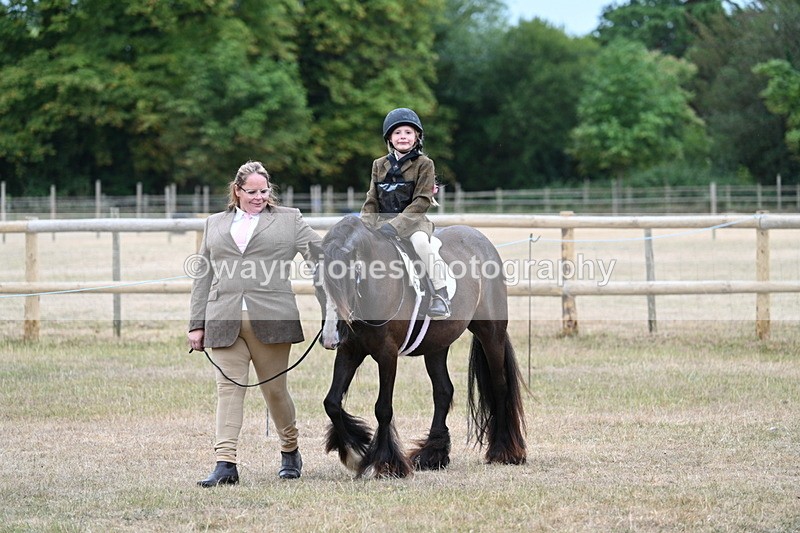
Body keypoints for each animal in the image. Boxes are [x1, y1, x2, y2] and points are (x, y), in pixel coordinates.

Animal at [309, 215, 527, 478]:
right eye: (318, 286)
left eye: (347, 285)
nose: (330, 338)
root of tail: (482, 241)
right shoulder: (349, 351)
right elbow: (331, 402)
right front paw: (355, 453)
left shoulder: (387, 354)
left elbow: (383, 408)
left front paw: (384, 462)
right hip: (437, 345)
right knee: (443, 391)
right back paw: (432, 455)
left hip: (491, 333)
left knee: (499, 386)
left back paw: (503, 452)